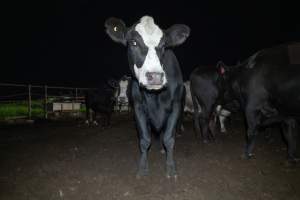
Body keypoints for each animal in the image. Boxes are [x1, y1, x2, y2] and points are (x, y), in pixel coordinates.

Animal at [105, 16, 190, 177]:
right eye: (133, 42)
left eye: (164, 45)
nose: (155, 76)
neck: (155, 97)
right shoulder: (138, 107)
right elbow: (144, 139)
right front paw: (143, 168)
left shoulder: (175, 106)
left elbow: (169, 138)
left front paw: (171, 168)